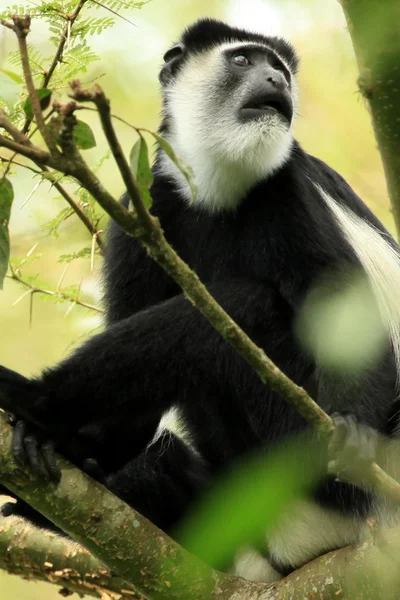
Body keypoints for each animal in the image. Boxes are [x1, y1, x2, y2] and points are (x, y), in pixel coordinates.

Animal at [0, 17, 400, 580]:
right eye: (243, 60)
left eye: (279, 67)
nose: (277, 79)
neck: (217, 184)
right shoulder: (145, 206)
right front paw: (75, 446)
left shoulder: (286, 187)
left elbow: (344, 311)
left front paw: (355, 435)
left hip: (309, 465)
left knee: (241, 305)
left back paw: (29, 398)